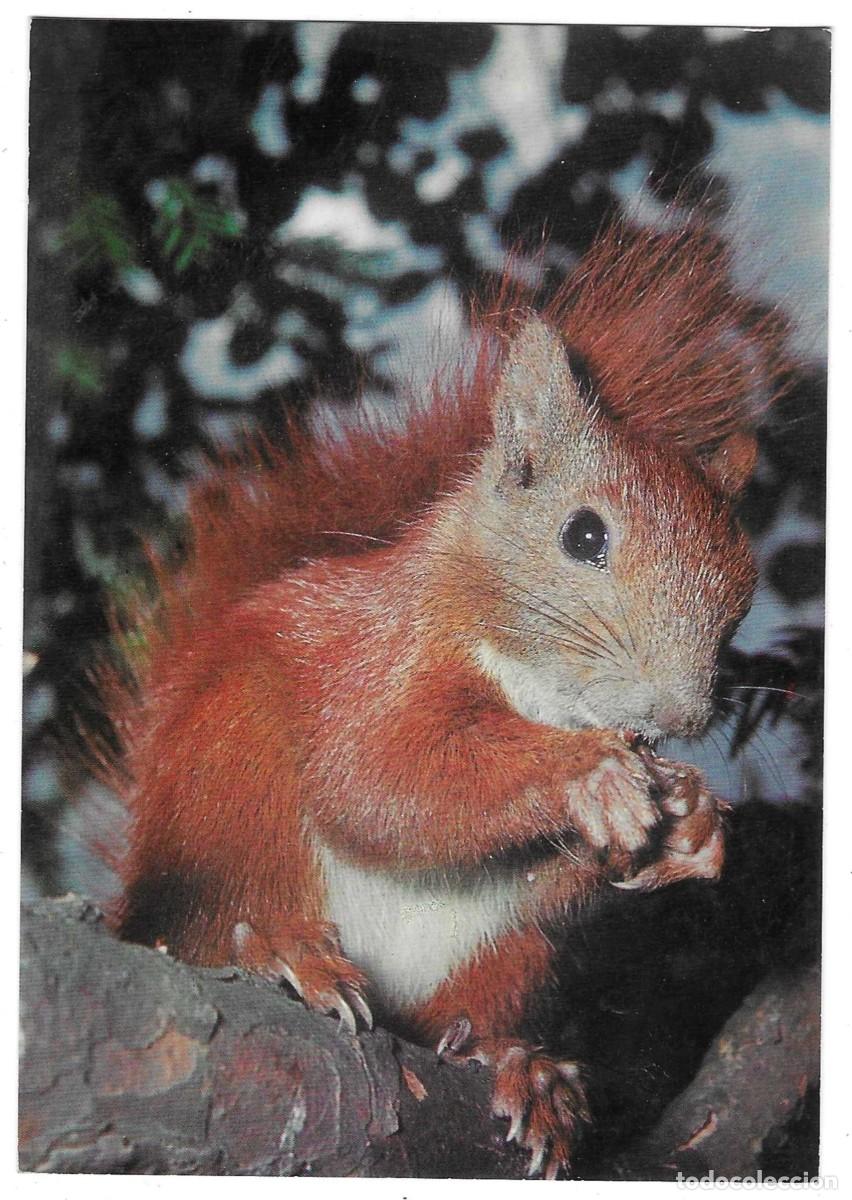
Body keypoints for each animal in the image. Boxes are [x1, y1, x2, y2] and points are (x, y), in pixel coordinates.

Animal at [91, 221, 789, 1178]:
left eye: (744, 595)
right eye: (584, 535)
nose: (680, 717)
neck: (539, 689)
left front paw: (692, 819)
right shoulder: (379, 662)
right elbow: (381, 781)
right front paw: (591, 776)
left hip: (506, 954)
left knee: (472, 1008)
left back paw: (517, 1063)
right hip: (236, 787)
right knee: (217, 917)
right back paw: (281, 952)